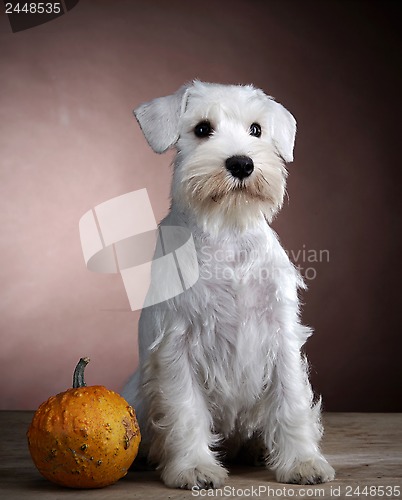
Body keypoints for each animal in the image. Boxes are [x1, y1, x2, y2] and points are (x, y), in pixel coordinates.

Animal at [123, 80, 336, 490]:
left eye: (256, 129)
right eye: (202, 129)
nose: (241, 163)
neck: (228, 231)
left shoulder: (281, 336)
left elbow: (291, 402)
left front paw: (302, 461)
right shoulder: (177, 344)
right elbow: (186, 410)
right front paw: (194, 468)